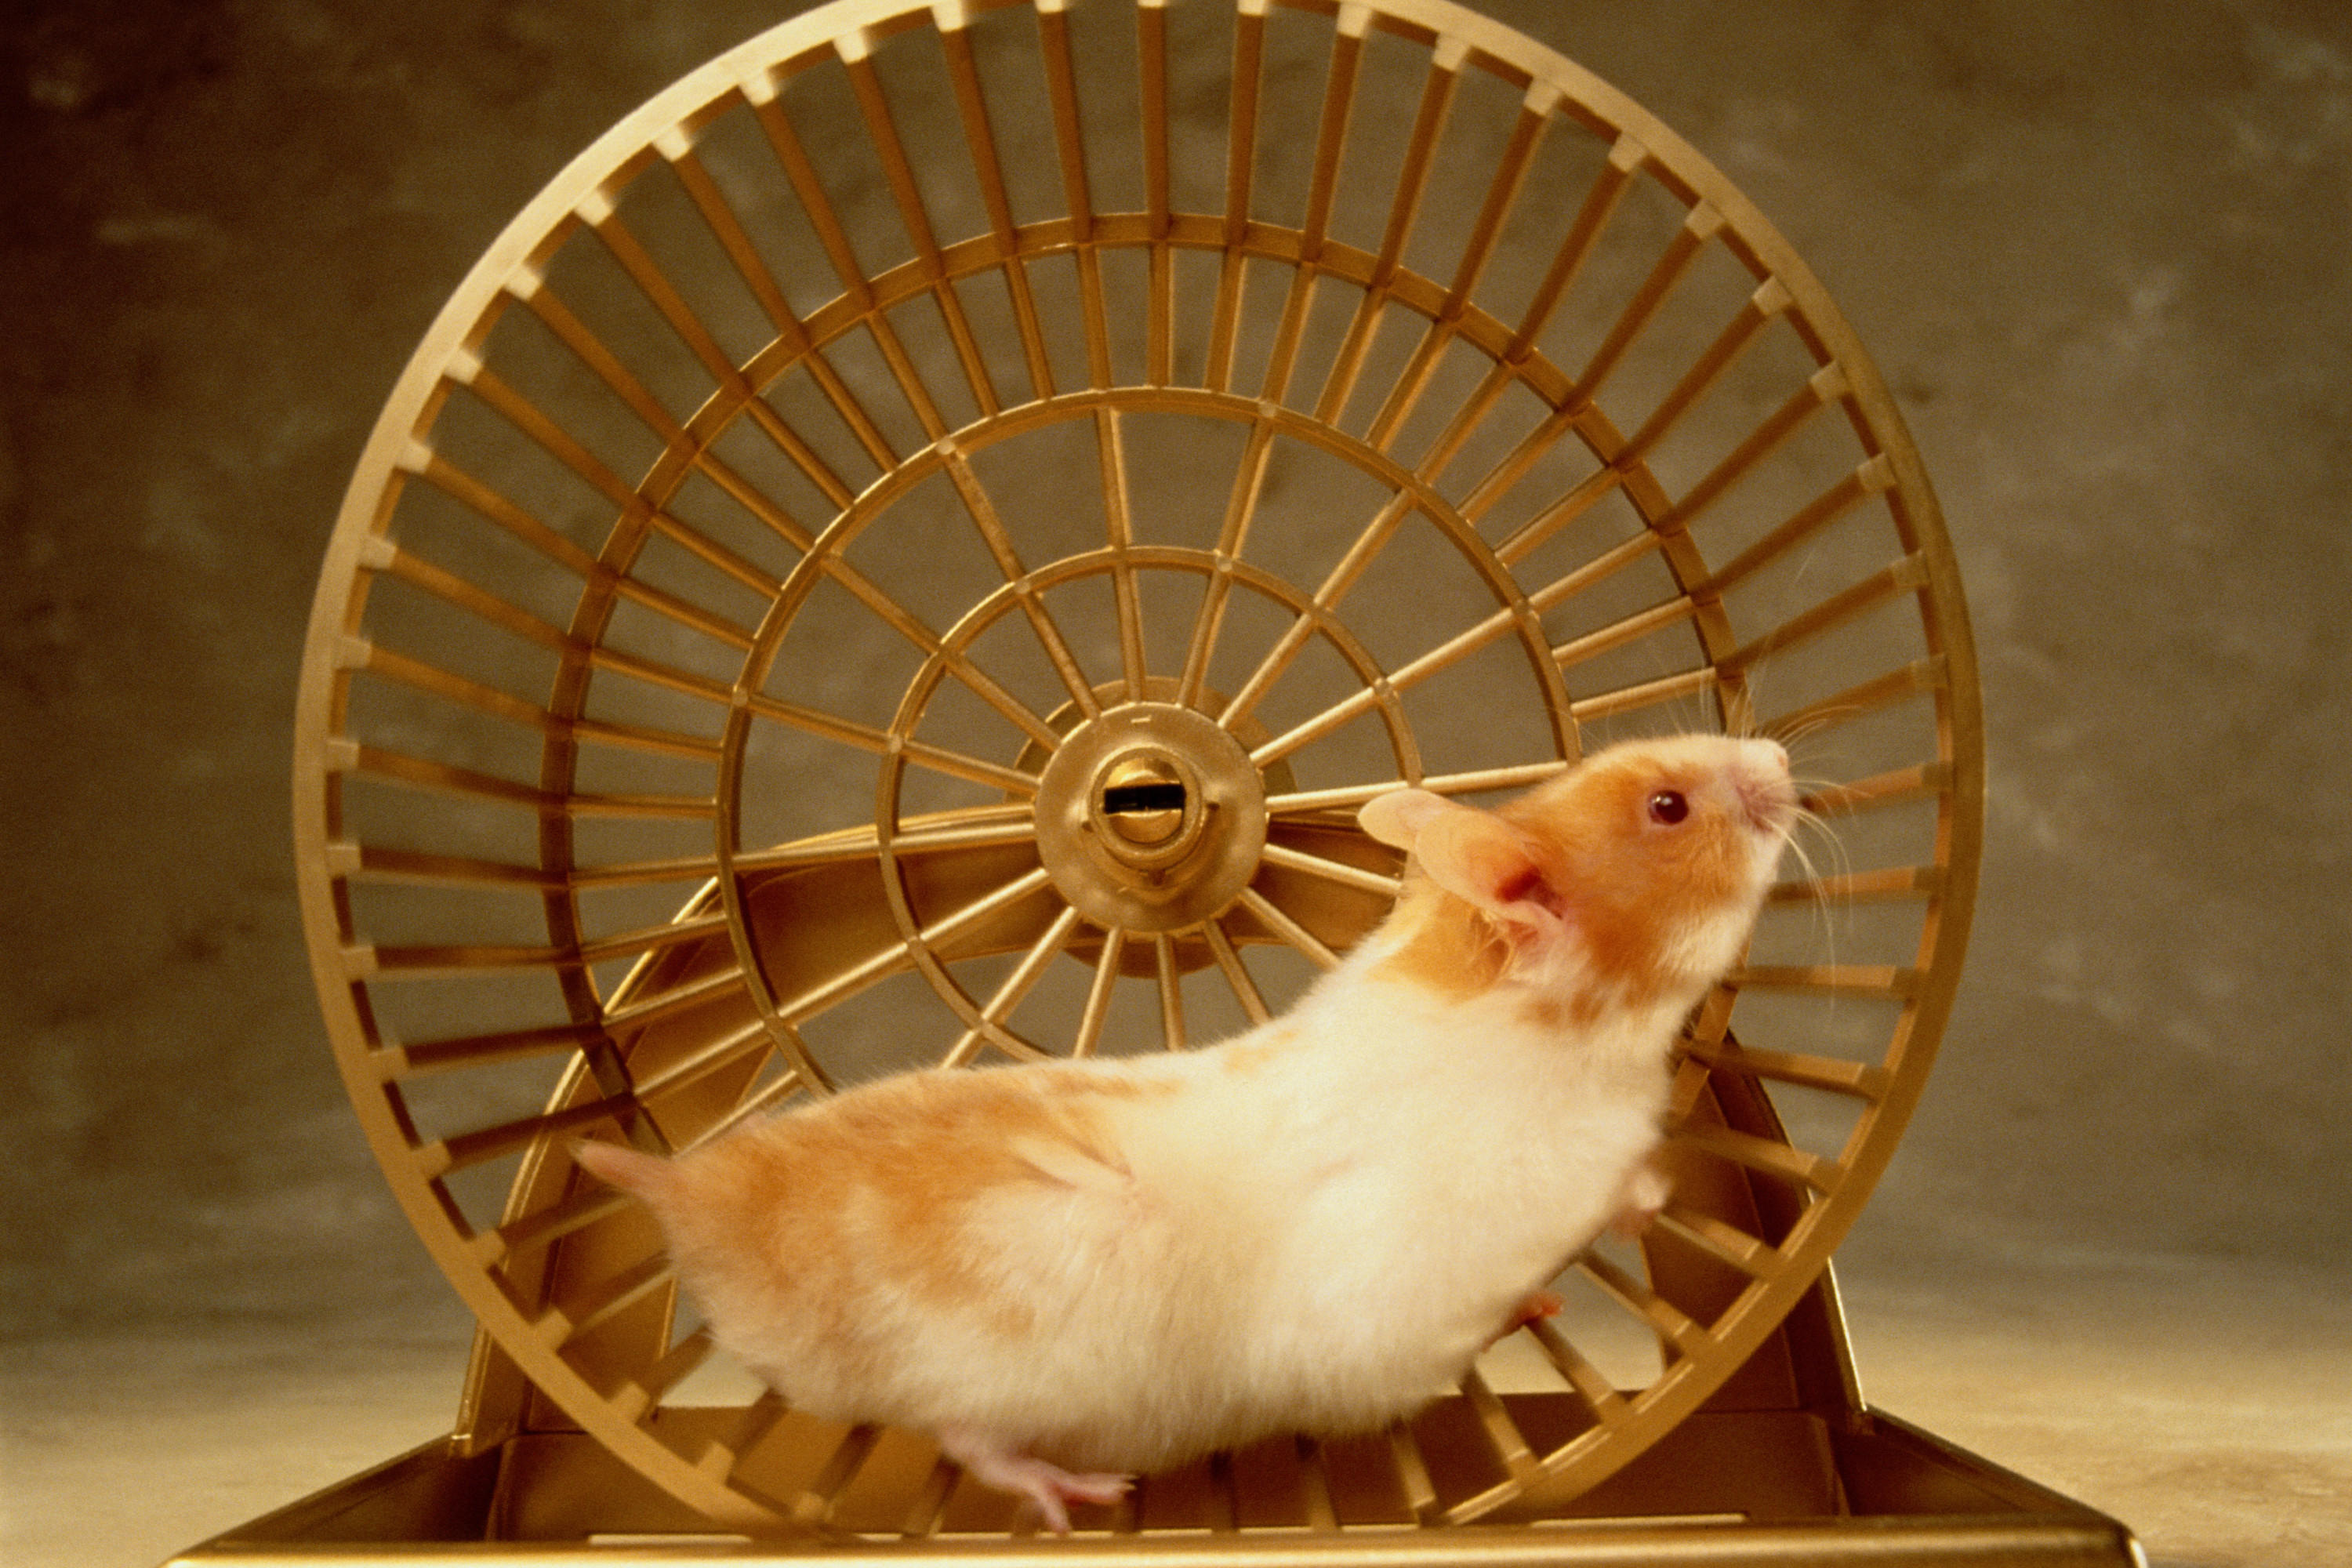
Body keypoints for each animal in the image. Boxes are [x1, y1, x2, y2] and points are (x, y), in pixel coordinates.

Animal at [574, 734, 1797, 1532]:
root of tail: (691, 1193)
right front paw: (1617, 1223)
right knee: (969, 1441)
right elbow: (1552, 1250)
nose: (1780, 749)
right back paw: (1076, 1493)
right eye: (1669, 808)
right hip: (976, 1381)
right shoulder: (1431, 1293)